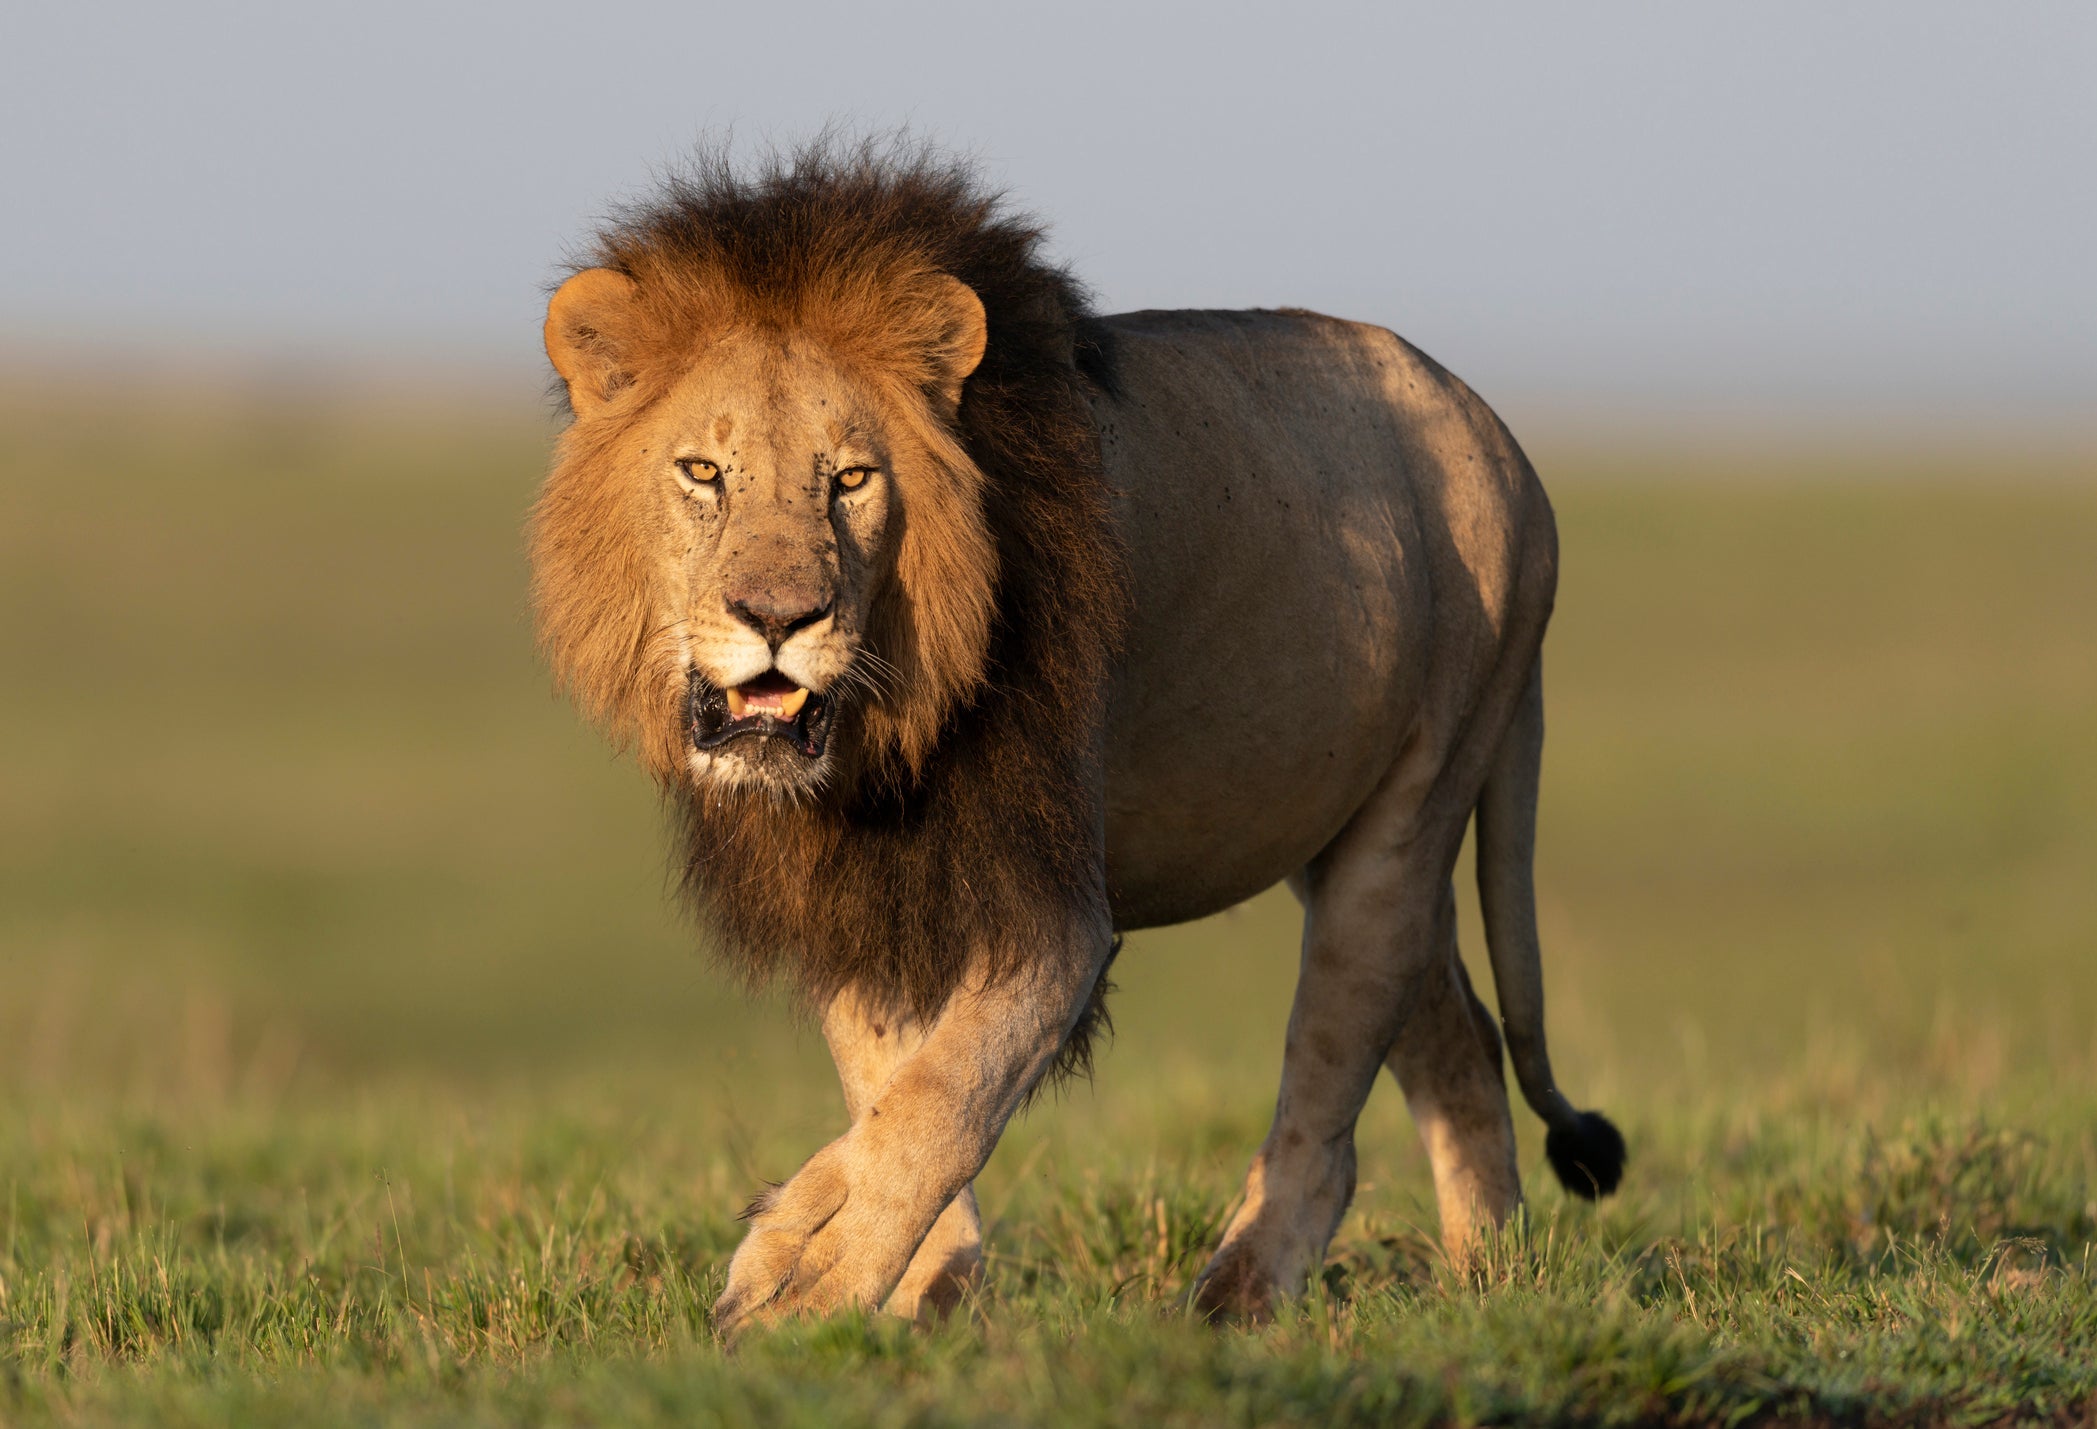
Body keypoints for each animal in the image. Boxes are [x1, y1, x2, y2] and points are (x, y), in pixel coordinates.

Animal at [529, 141, 1623, 1337]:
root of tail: (1502, 437)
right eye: (703, 473)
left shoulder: (1056, 908)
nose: (779, 619)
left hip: (1408, 817)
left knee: (1332, 1094)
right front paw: (921, 1286)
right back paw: (1492, 1283)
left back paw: (1239, 1295)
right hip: (1344, 842)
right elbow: (885, 1080)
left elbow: (943, 1094)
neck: (879, 738)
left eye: (851, 480)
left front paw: (803, 1278)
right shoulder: (851, 884)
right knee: (1459, 1039)